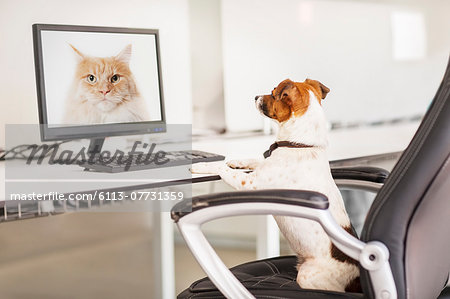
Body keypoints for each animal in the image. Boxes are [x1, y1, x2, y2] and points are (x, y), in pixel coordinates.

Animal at [192, 79, 360, 292]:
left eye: (273, 93)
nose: (255, 96)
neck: (299, 145)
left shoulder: (250, 183)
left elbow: (221, 168)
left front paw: (200, 166)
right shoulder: (263, 166)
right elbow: (253, 160)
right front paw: (236, 161)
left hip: (307, 275)